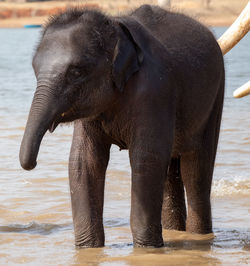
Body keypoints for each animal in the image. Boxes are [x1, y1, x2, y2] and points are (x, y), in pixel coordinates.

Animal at [19, 5, 225, 247]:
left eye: (76, 72)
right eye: (34, 69)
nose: (31, 164)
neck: (115, 26)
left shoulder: (154, 91)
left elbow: (146, 159)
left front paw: (147, 249)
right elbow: (83, 162)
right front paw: (88, 248)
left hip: (214, 99)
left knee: (195, 169)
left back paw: (199, 236)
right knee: (171, 170)